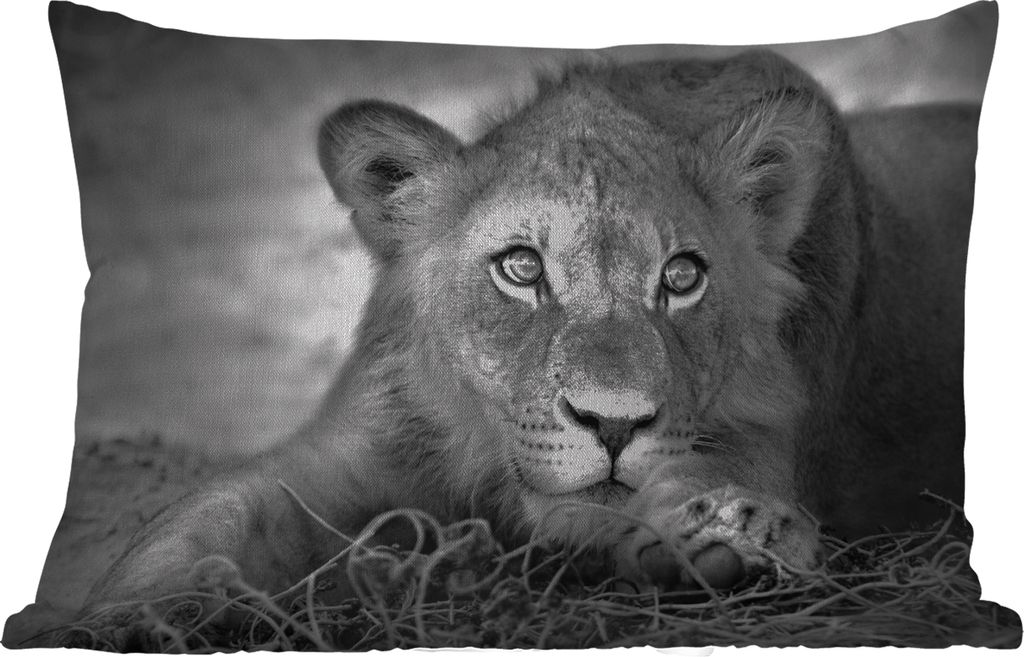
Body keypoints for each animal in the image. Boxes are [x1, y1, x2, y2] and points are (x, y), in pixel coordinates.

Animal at [80, 50, 976, 610]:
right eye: (519, 267)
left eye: (682, 276)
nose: (613, 424)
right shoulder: (348, 451)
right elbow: (199, 523)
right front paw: (124, 620)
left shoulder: (756, 438)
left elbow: (716, 483)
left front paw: (739, 535)